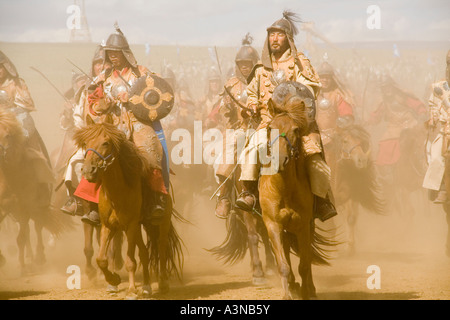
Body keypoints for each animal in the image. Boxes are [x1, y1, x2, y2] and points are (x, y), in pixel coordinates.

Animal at [0, 109, 67, 274]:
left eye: (8, 135)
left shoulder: (24, 207)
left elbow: (22, 237)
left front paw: (23, 267)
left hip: (36, 207)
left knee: (36, 227)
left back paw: (38, 257)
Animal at [74, 115, 183, 300]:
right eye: (86, 142)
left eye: (106, 143)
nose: (89, 170)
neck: (118, 192)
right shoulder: (108, 225)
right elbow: (101, 259)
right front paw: (114, 280)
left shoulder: (130, 225)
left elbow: (130, 262)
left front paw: (131, 291)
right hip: (138, 226)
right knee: (144, 253)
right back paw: (146, 286)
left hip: (160, 222)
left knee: (161, 247)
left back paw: (162, 283)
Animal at [334, 124, 386, 252]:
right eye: (345, 141)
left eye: (361, 142)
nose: (362, 160)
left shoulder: (349, 194)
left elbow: (351, 218)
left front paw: (350, 247)